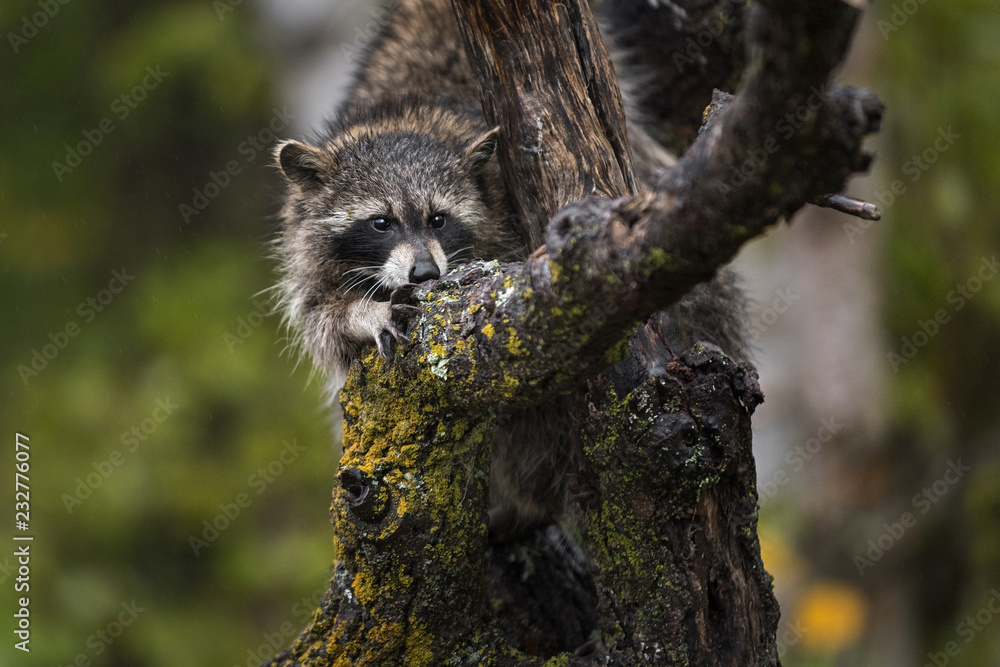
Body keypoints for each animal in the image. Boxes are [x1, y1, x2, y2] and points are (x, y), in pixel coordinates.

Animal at [273, 0, 746, 540]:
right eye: (381, 223)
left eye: (438, 219)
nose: (424, 274)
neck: (409, 119)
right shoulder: (306, 250)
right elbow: (322, 323)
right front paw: (364, 312)